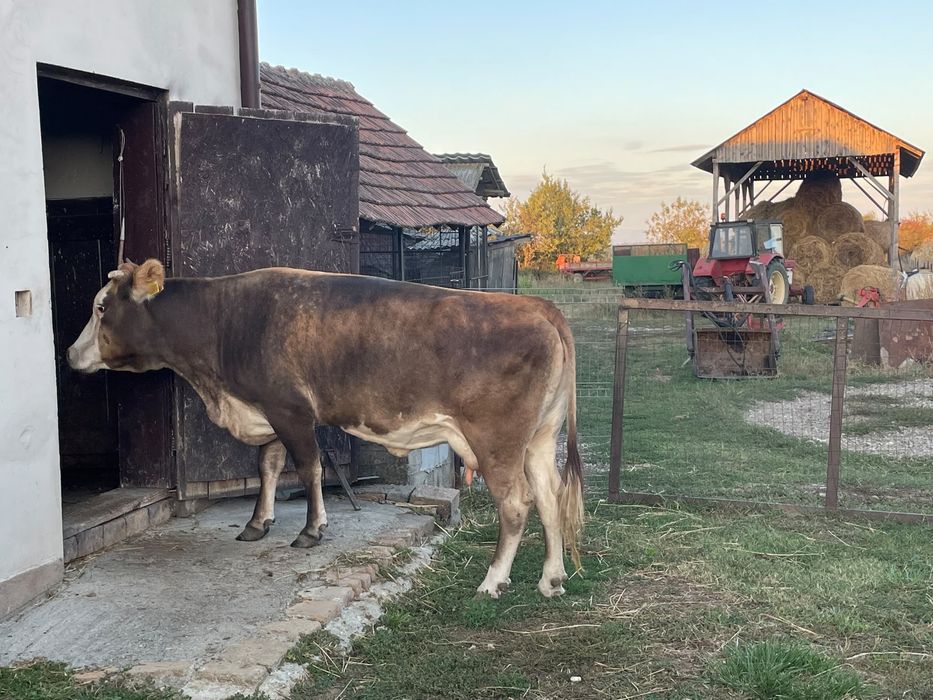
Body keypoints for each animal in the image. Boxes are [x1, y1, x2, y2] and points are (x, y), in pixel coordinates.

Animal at [67, 259, 584, 597]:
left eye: (101, 307)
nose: (70, 354)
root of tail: (537, 306)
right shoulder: (268, 411)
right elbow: (268, 466)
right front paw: (258, 523)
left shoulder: (290, 410)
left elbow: (309, 468)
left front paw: (311, 530)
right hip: (540, 437)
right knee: (549, 496)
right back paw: (551, 579)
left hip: (496, 440)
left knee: (516, 504)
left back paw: (492, 581)